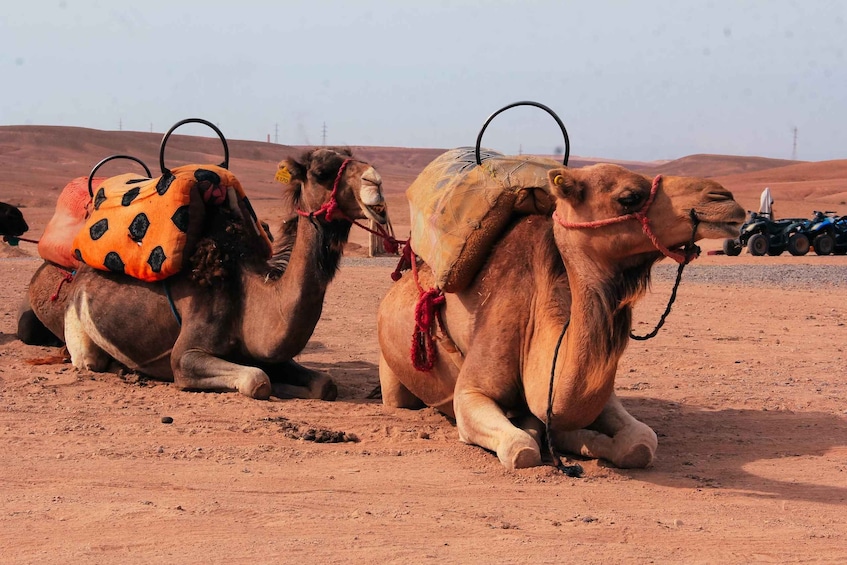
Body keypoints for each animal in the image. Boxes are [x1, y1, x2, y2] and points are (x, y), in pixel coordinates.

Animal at [24, 147, 387, 400]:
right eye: (323, 171)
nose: (376, 182)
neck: (251, 293)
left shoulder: (267, 353)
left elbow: (323, 384)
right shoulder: (185, 356)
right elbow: (257, 380)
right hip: (75, 322)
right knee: (88, 360)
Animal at [377, 163, 745, 470]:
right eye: (629, 197)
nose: (725, 198)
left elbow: (639, 443)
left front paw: (581, 441)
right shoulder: (470, 394)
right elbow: (522, 447)